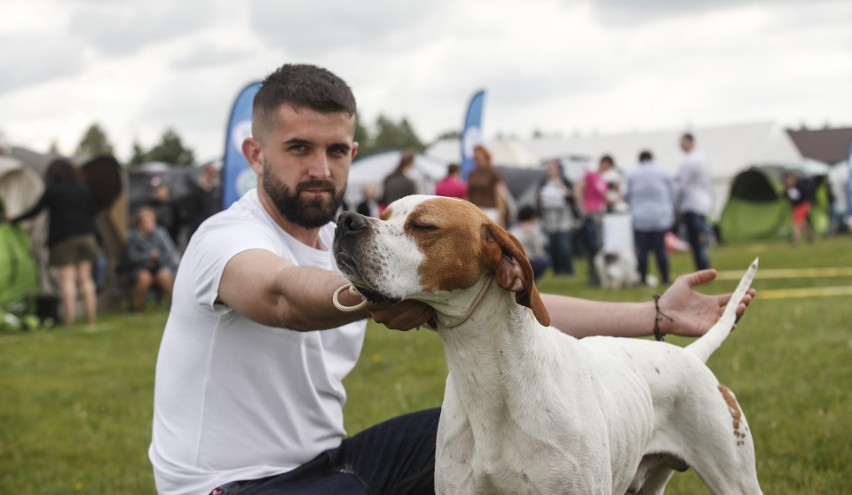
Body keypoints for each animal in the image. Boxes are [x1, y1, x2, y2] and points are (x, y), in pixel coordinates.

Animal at [332, 196, 760, 494]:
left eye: (423, 225)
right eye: (384, 213)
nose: (345, 220)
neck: (488, 377)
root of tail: (689, 354)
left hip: (735, 478)